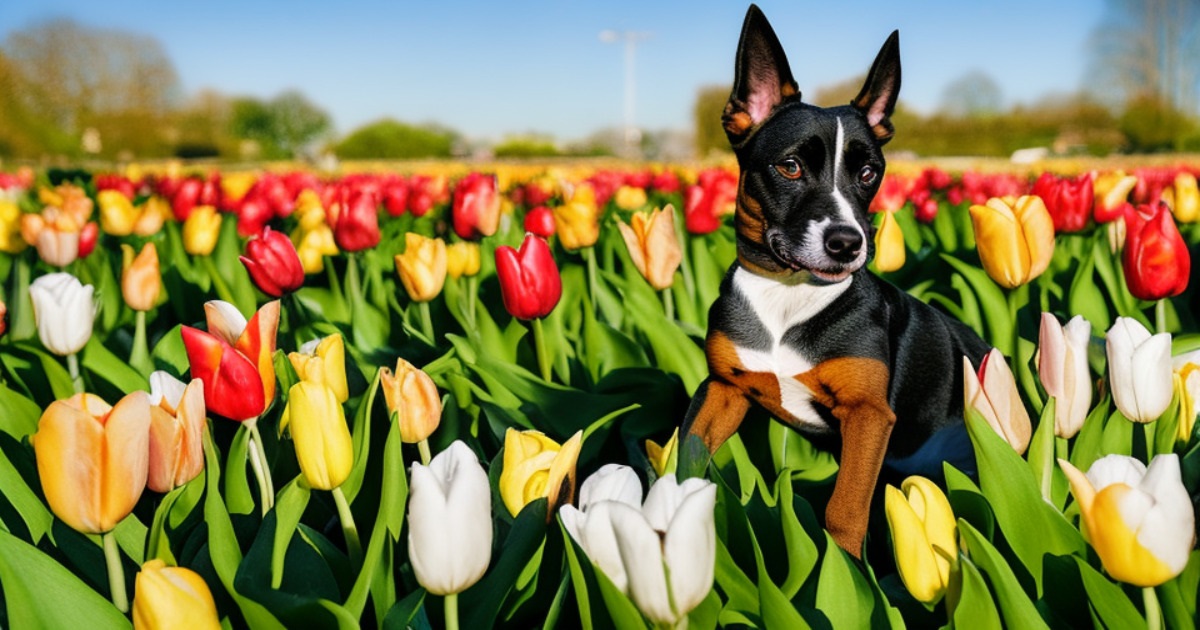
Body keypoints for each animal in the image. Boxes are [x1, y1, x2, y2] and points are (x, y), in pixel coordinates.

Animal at [681, 3, 988, 554]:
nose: (847, 242)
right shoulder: (722, 390)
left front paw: (842, 572)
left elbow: (844, 512)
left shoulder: (867, 416)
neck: (787, 295)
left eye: (869, 174)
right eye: (790, 166)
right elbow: (683, 462)